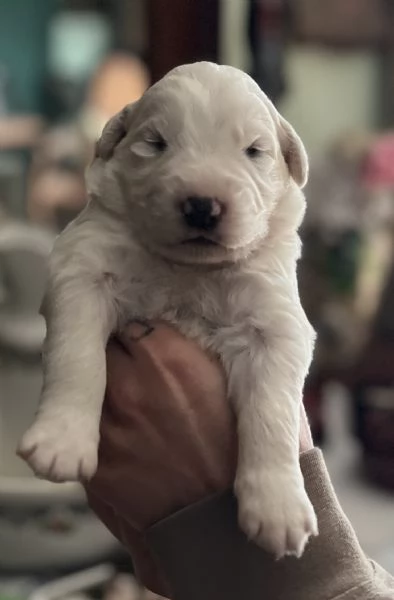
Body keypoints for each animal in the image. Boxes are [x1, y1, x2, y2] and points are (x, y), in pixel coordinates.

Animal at [19, 62, 320, 556]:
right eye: (156, 143)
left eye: (254, 150)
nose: (202, 206)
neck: (187, 270)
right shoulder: (83, 269)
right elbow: (78, 359)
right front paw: (61, 442)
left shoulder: (275, 321)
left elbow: (272, 411)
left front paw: (278, 509)